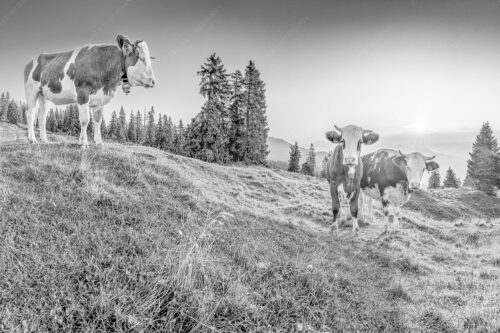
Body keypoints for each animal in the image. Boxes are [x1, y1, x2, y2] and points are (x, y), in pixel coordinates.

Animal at [23, 34, 155, 147]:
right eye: (141, 57)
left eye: (150, 59)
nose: (153, 81)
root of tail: (32, 60)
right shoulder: (83, 93)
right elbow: (85, 120)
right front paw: (83, 143)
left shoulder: (100, 99)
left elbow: (97, 121)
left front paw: (99, 142)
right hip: (31, 91)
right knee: (30, 113)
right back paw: (32, 139)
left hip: (44, 95)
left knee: (42, 116)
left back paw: (44, 140)